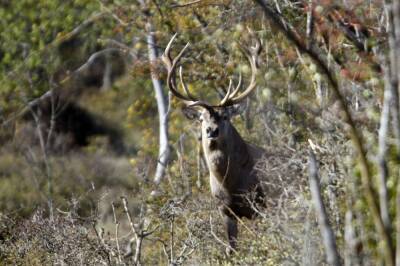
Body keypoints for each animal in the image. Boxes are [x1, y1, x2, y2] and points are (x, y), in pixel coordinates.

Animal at [161, 32, 264, 254]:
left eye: (225, 116)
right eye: (201, 119)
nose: (211, 130)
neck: (231, 184)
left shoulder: (260, 203)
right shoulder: (224, 211)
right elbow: (231, 250)